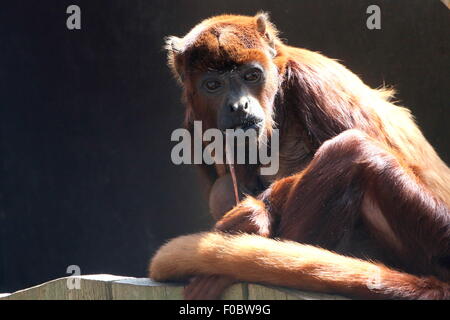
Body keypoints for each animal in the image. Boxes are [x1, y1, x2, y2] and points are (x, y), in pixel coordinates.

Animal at [150, 11, 450, 298]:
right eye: (213, 85)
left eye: (251, 76)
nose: (239, 105)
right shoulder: (193, 121)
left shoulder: (316, 83)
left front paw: (258, 214)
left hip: (434, 231)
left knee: (352, 149)